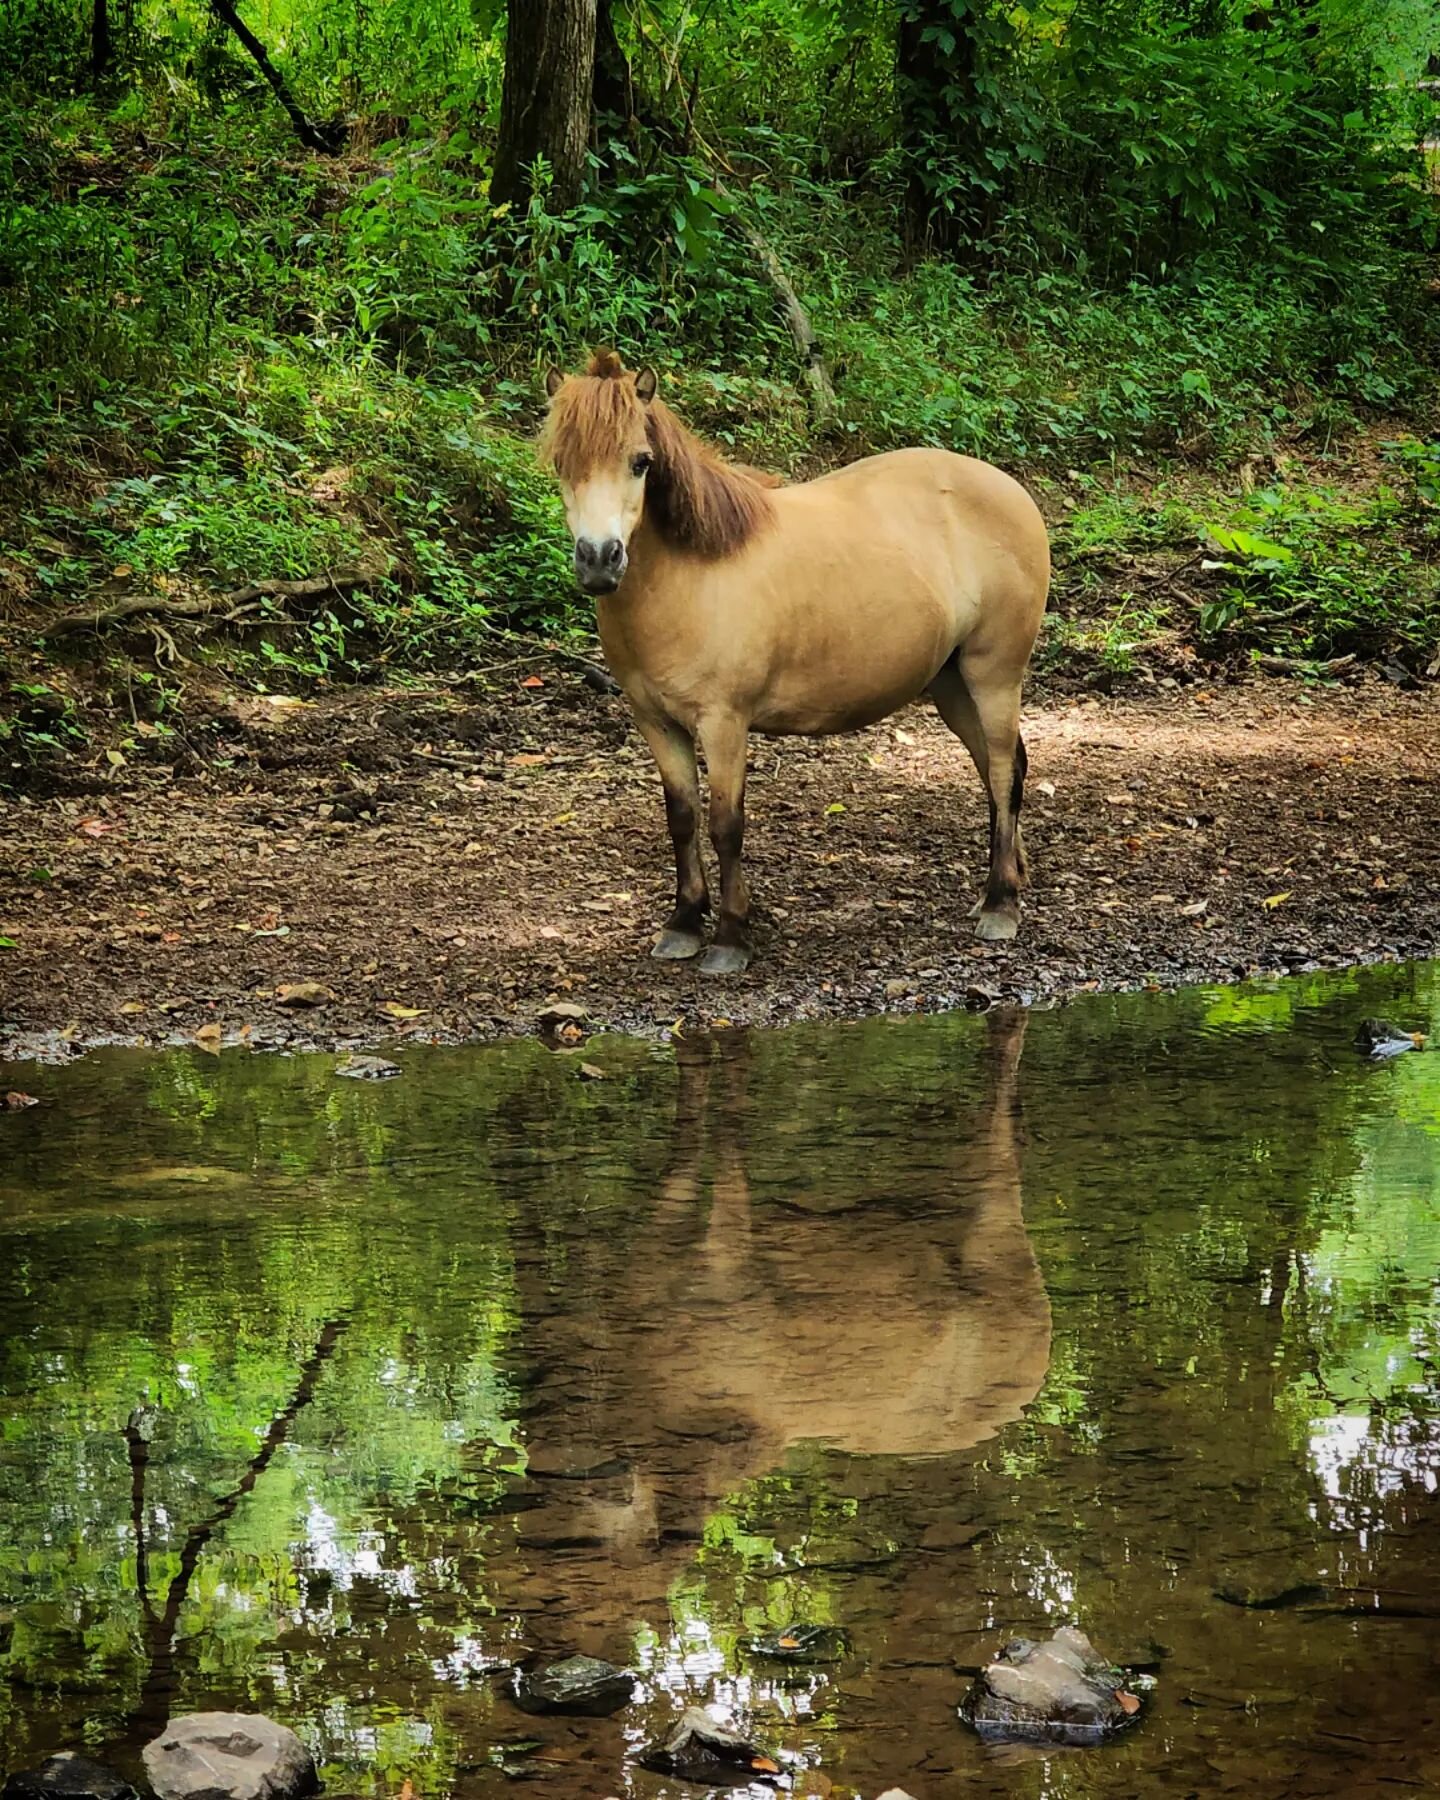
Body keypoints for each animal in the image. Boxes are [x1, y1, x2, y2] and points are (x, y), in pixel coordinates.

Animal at [540, 347, 1044, 972]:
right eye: (562, 463)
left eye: (640, 462)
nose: (599, 560)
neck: (691, 573)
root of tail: (1011, 490)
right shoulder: (656, 721)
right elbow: (681, 818)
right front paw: (683, 924)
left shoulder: (724, 723)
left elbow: (726, 824)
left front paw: (730, 937)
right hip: (952, 685)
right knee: (999, 769)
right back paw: (1000, 886)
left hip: (994, 676)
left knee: (1001, 771)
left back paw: (1001, 906)